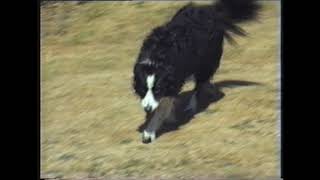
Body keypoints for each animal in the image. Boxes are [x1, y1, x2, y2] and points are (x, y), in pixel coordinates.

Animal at [132, 0, 260, 143]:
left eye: (158, 90)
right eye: (143, 89)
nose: (147, 108)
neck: (156, 58)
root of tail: (212, 10)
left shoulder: (174, 80)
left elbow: (162, 108)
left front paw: (149, 132)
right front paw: (167, 116)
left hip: (206, 61)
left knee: (199, 84)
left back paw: (192, 105)